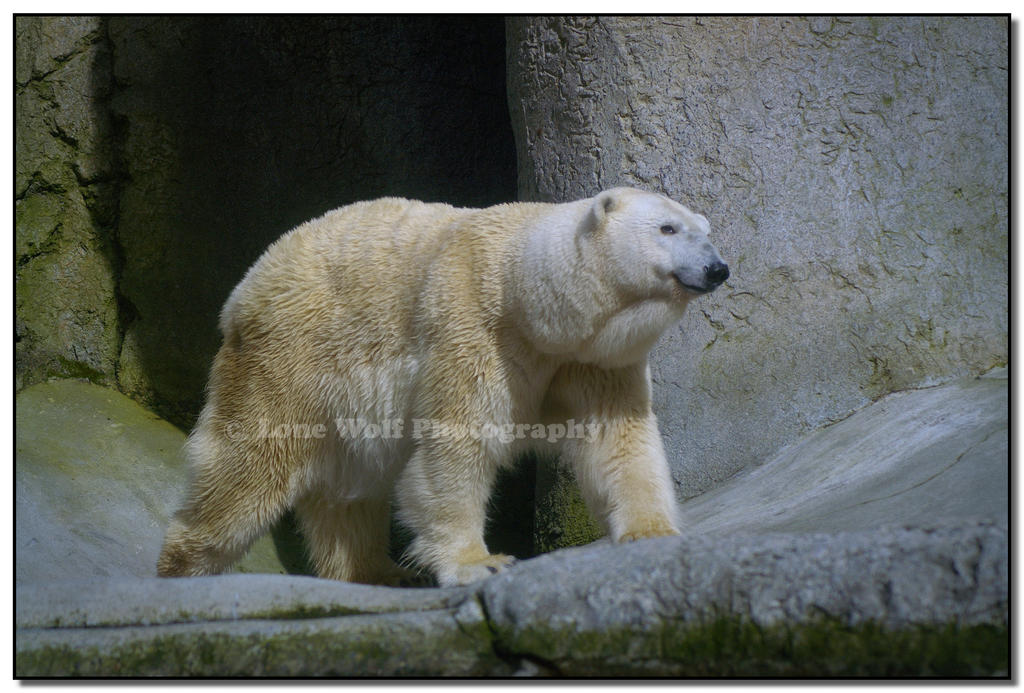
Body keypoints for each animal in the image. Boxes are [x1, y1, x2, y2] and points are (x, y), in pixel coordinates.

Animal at [155, 188, 729, 585]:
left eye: (705, 229)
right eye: (667, 228)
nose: (718, 267)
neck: (526, 293)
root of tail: (246, 286)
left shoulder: (593, 361)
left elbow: (618, 438)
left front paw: (651, 530)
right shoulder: (474, 326)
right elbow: (456, 445)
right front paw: (481, 562)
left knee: (349, 488)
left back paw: (377, 571)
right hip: (289, 357)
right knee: (250, 465)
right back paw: (182, 568)